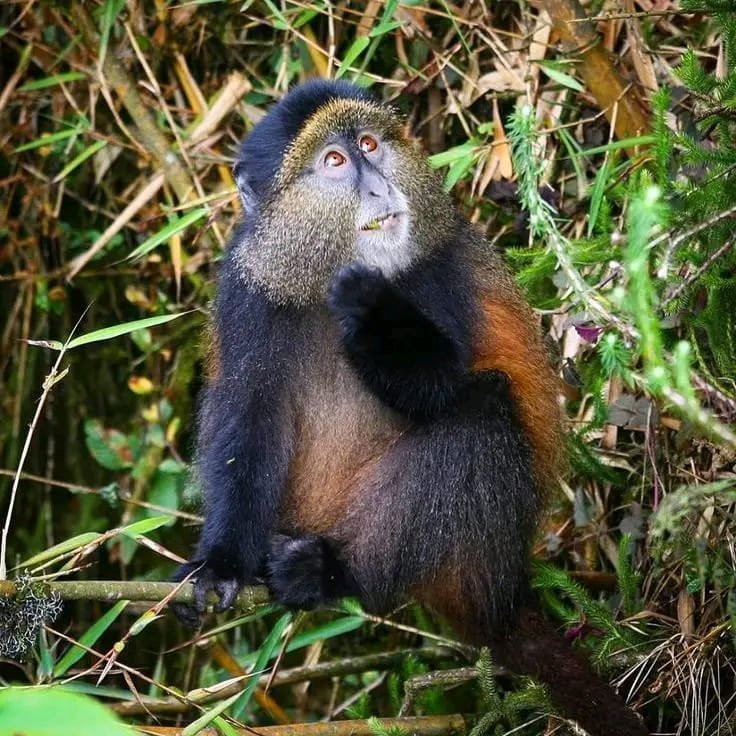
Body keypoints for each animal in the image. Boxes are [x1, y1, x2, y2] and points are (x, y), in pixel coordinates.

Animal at [173, 80, 647, 736]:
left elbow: (444, 386)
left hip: (472, 545)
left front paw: (373, 311)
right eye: (335, 161)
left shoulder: (436, 274)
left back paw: (335, 573)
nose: (379, 187)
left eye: (371, 144)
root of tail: (499, 594)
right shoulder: (247, 291)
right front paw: (219, 564)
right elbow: (248, 420)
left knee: (482, 411)